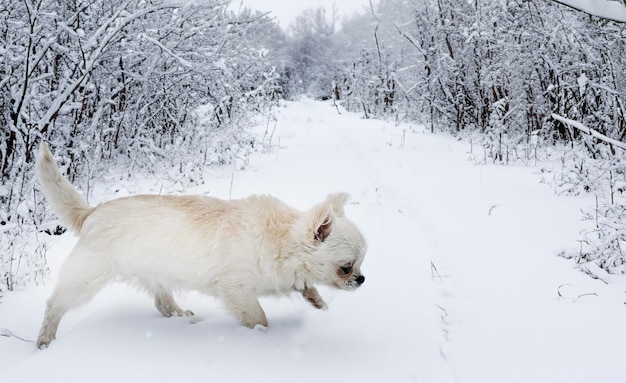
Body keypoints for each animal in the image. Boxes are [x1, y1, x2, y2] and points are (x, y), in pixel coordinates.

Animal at [34, 142, 366, 350]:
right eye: (346, 268)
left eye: (360, 265)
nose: (361, 279)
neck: (281, 237)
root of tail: (92, 212)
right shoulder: (237, 291)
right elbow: (258, 317)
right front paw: (264, 337)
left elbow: (305, 287)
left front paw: (318, 303)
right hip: (86, 278)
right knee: (53, 306)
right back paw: (44, 341)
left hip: (155, 273)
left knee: (162, 303)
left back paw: (182, 317)